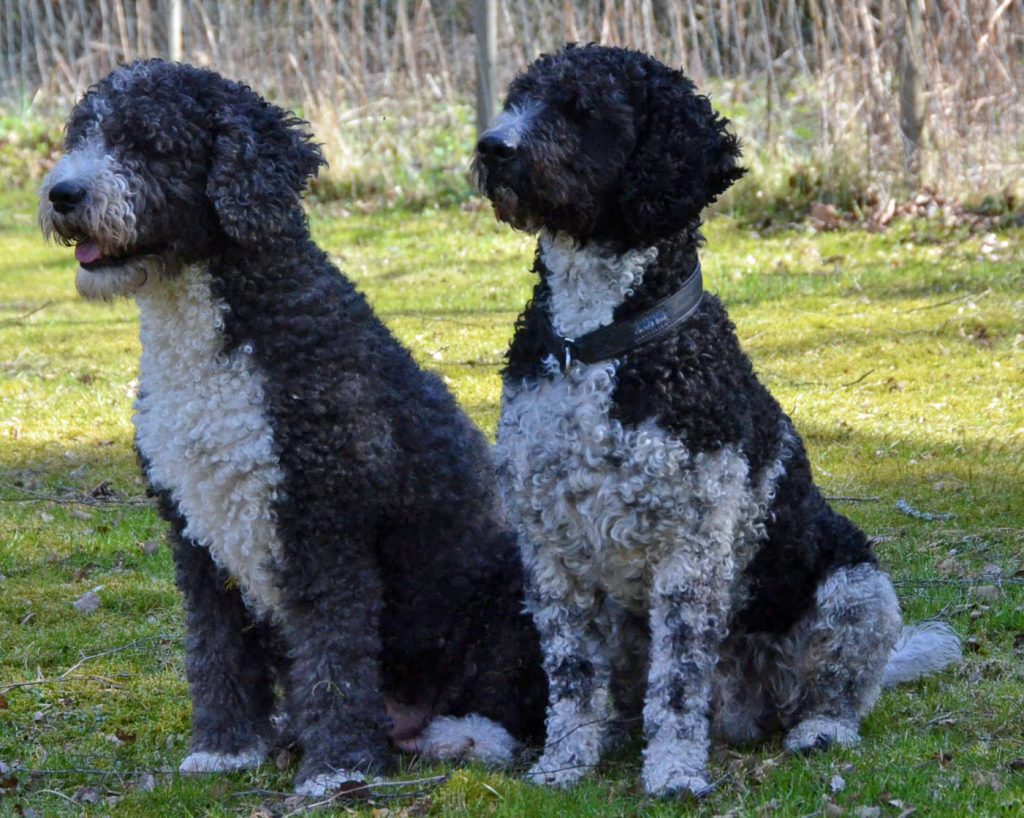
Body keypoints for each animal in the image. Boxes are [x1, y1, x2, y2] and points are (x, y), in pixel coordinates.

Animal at [37, 60, 552, 798]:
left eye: (146, 143)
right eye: (81, 135)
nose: (62, 193)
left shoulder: (323, 526)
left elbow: (334, 653)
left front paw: (336, 769)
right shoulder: (195, 534)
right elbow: (215, 650)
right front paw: (224, 749)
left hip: (510, 598)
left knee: (508, 700)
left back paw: (460, 736)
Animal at [471, 46, 958, 798]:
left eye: (583, 109)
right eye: (517, 98)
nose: (491, 147)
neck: (595, 345)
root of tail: (745, 705)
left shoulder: (690, 550)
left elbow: (676, 685)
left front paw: (673, 772)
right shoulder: (552, 552)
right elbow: (572, 677)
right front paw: (565, 761)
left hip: (856, 589)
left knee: (840, 691)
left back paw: (820, 729)